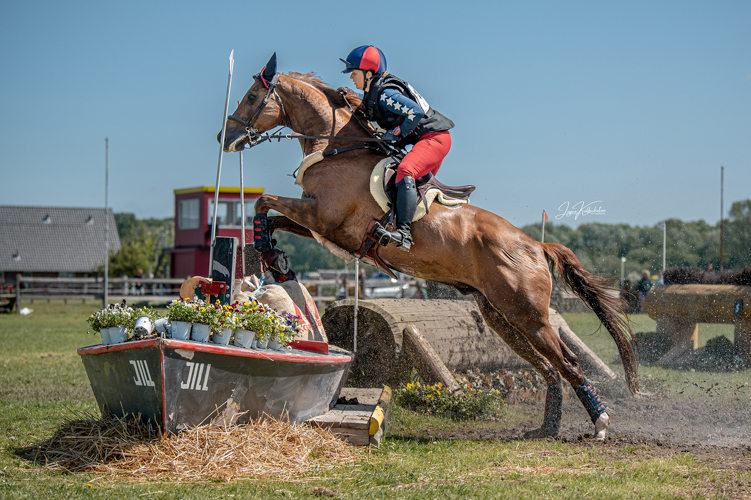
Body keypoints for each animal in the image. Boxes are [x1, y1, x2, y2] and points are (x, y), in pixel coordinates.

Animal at [220, 55, 638, 440]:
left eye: (252, 96)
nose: (225, 137)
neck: (339, 147)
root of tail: (535, 244)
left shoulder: (322, 216)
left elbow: (263, 202)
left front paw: (266, 253)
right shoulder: (322, 226)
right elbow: (271, 215)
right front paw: (274, 258)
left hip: (528, 316)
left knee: (569, 362)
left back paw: (599, 423)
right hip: (500, 314)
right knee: (551, 368)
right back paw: (547, 428)